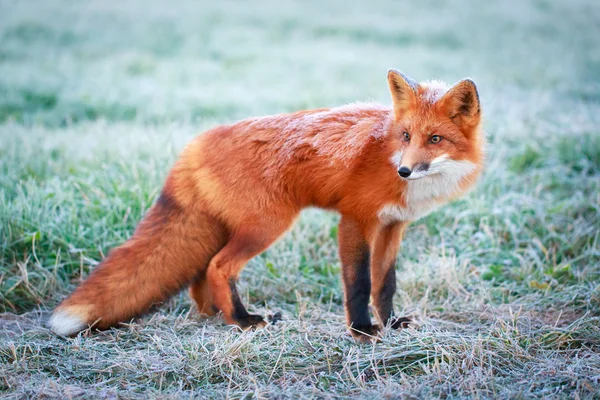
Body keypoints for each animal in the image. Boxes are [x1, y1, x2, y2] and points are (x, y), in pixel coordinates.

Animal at [49, 69, 486, 340]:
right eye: (406, 135)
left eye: (434, 139)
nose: (404, 171)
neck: (387, 151)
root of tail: (195, 143)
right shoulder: (355, 220)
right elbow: (360, 283)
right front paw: (362, 331)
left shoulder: (394, 226)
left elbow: (386, 283)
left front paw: (392, 323)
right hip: (267, 226)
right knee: (218, 267)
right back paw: (244, 321)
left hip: (230, 229)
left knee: (199, 275)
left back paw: (217, 316)